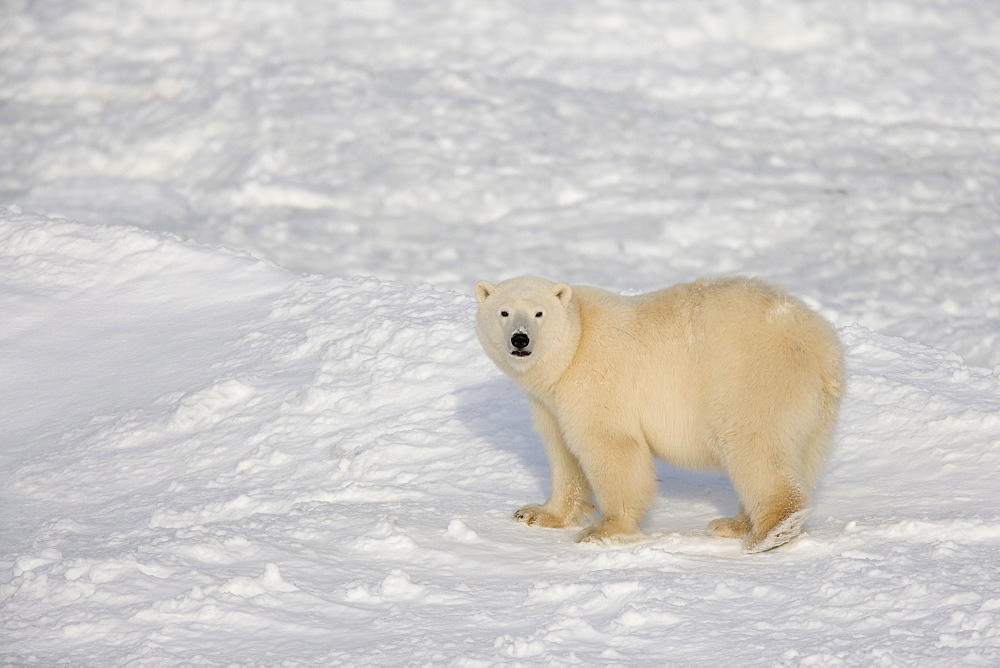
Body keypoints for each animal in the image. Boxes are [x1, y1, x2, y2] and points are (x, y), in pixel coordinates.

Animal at [476, 276, 844, 552]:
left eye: (539, 313)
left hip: (752, 378)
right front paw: (536, 514)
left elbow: (611, 445)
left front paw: (604, 530)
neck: (575, 344)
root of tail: (821, 346)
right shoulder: (549, 402)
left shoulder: (596, 380)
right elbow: (562, 452)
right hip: (814, 410)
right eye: (504, 312)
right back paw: (735, 524)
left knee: (754, 445)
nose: (520, 339)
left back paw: (770, 532)